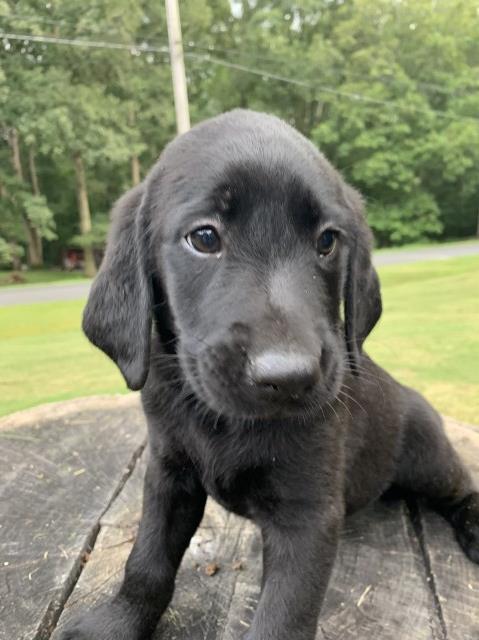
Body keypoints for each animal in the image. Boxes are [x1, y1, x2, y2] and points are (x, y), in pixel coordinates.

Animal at [62, 111, 479, 640]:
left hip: (427, 454)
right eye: (204, 237)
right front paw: (118, 621)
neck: (224, 421)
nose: (291, 376)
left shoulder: (308, 517)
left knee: (460, 486)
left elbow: (284, 616)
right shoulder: (167, 472)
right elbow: (147, 560)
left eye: (327, 241)